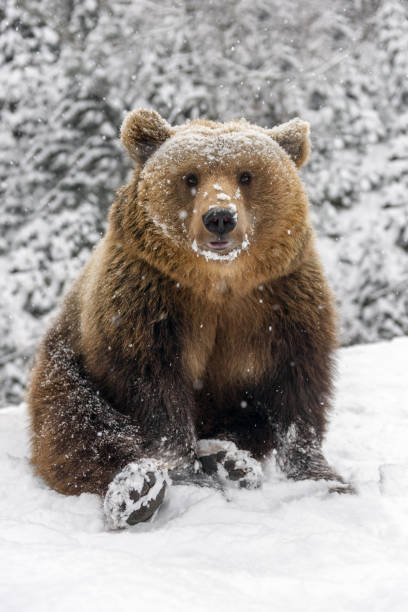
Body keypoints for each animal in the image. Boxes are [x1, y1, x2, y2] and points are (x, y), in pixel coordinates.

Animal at [27, 107, 352, 528]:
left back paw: (229, 460)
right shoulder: (148, 298)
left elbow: (297, 384)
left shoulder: (282, 301)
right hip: (65, 362)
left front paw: (323, 476)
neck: (219, 282)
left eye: (246, 175)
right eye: (191, 177)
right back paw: (139, 489)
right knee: (76, 426)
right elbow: (152, 385)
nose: (220, 217)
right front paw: (183, 472)